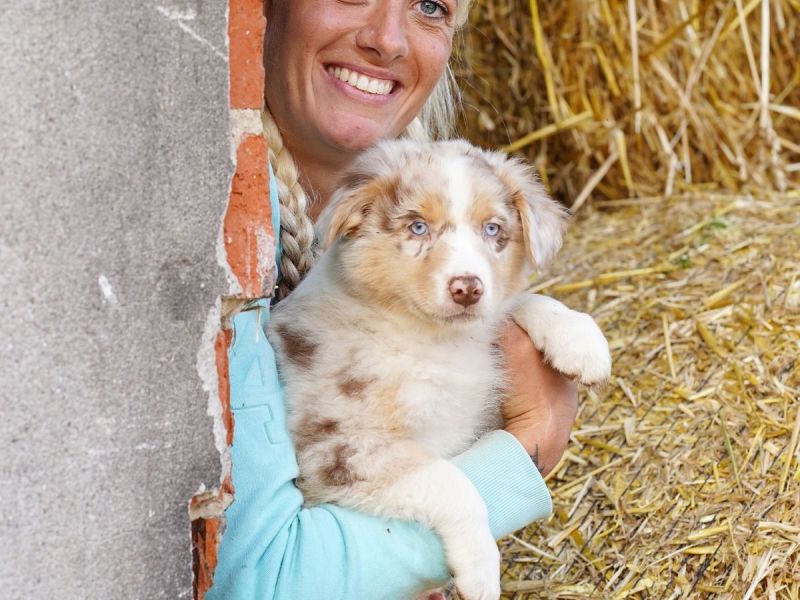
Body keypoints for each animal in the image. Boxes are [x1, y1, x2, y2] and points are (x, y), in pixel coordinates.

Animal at [266, 139, 608, 600]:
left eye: (493, 230)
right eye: (417, 228)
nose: (467, 288)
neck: (432, 340)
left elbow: (516, 303)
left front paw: (579, 338)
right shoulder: (337, 447)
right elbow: (451, 482)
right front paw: (481, 570)